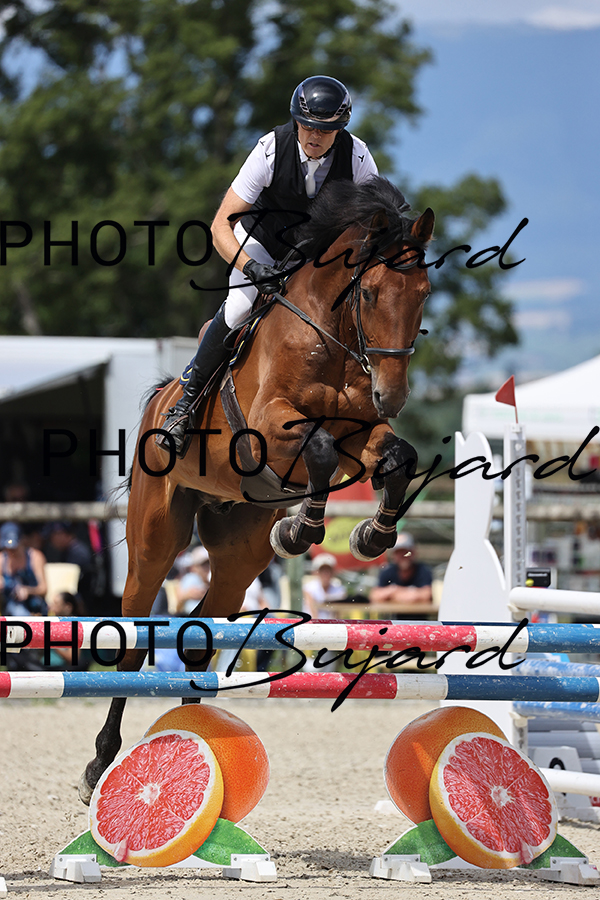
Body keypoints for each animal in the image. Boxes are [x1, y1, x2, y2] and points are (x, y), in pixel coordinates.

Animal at [79, 176, 434, 803]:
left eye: (424, 294)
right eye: (368, 294)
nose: (391, 395)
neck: (331, 335)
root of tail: (158, 401)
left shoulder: (361, 432)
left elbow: (397, 458)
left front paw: (370, 536)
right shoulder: (271, 425)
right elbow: (318, 450)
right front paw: (301, 530)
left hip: (238, 546)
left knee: (200, 631)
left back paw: (193, 737)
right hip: (154, 539)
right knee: (135, 631)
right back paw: (100, 762)